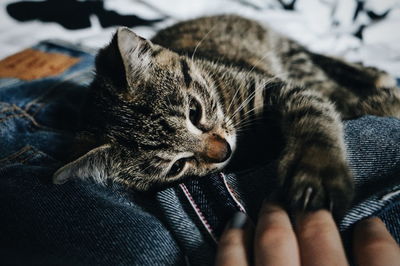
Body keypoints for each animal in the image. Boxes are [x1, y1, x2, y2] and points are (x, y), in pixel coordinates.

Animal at [54, 14, 400, 215]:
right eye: (177, 166)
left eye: (194, 112)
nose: (223, 152)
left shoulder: (277, 86)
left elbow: (317, 110)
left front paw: (317, 169)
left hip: (292, 57)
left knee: (324, 72)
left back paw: (374, 79)